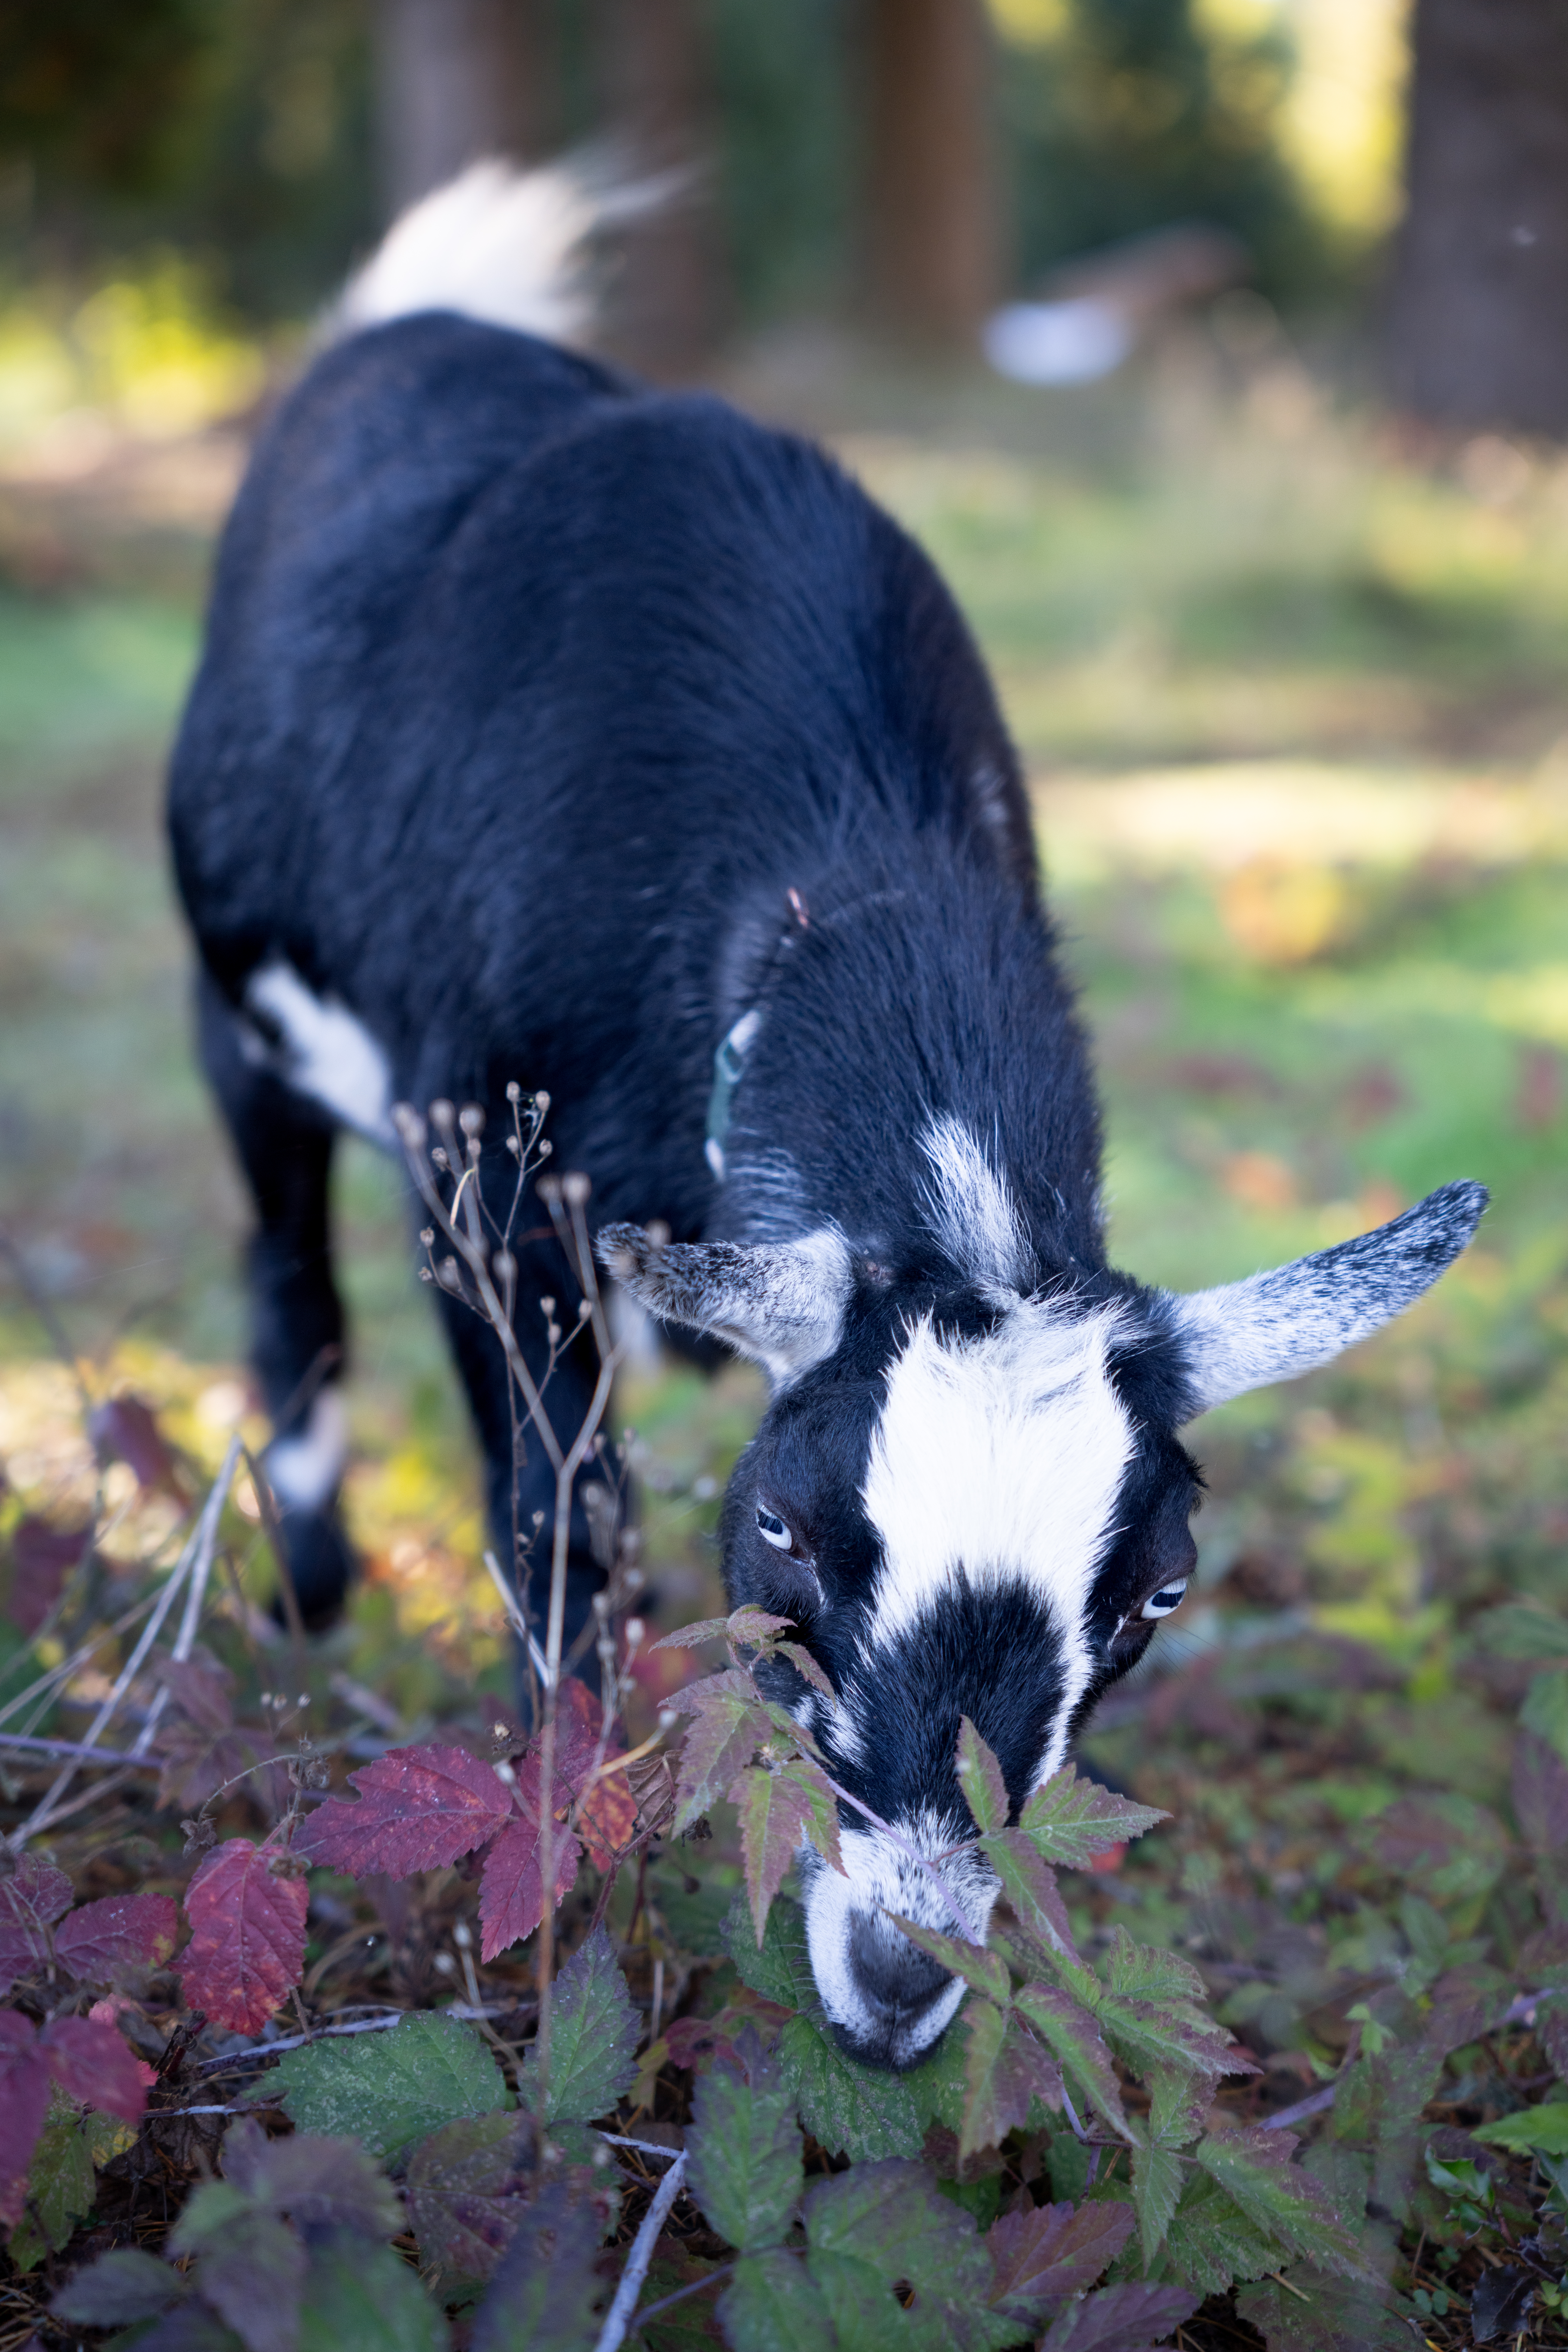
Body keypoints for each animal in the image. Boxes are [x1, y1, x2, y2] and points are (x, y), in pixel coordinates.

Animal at [168, 165, 1486, 2069]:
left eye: (1157, 1594)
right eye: (785, 1531)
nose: (899, 1978)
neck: (836, 869)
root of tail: (421, 322)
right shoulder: (476, 1178)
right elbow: (559, 1514)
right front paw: (570, 1809)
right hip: (238, 1011)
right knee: (288, 1272)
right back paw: (313, 1590)